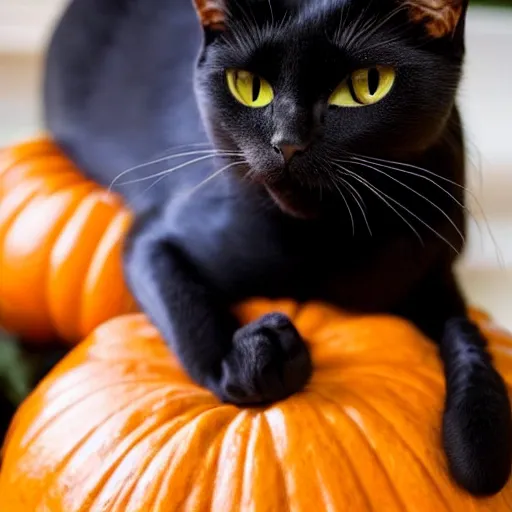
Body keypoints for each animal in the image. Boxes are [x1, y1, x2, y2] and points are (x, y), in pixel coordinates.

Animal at [45, 0, 512, 496]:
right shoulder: (156, 237)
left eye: (368, 85)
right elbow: (190, 316)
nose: (287, 143)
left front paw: (480, 439)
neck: (326, 242)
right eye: (249, 87)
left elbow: (468, 335)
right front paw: (252, 357)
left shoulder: (432, 268)